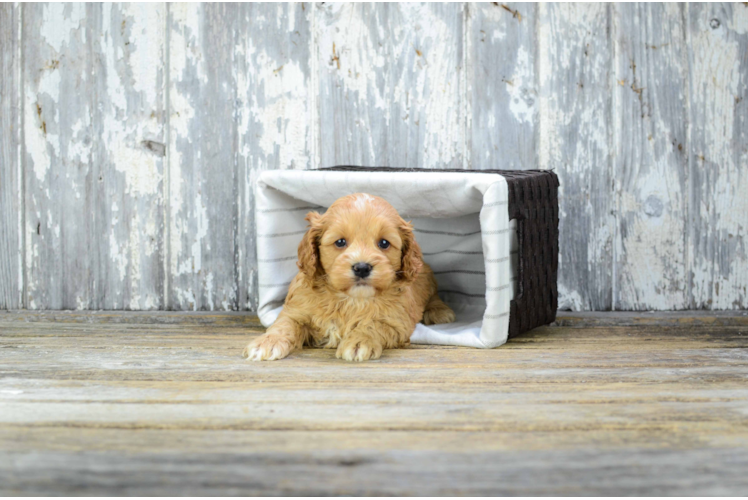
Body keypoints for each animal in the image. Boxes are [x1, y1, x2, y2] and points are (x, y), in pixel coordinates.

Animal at [245, 193, 456, 362]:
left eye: (384, 243)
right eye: (340, 242)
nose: (362, 268)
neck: (350, 299)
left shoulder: (397, 321)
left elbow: (373, 324)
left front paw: (359, 342)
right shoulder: (296, 309)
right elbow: (284, 324)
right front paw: (266, 343)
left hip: (427, 279)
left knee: (434, 296)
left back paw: (439, 312)